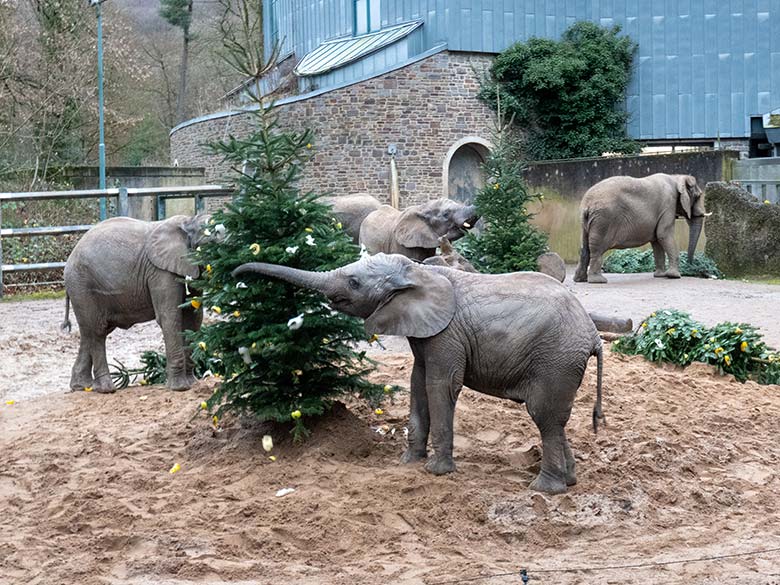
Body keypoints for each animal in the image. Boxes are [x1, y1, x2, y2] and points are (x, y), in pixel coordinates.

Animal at [62, 213, 212, 392]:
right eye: (212, 240)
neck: (189, 221)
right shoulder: (160, 271)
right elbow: (170, 316)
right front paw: (180, 388)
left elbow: (193, 317)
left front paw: (192, 383)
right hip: (83, 286)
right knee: (97, 330)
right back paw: (106, 389)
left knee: (89, 332)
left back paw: (81, 386)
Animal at [235, 252, 608, 492]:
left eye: (354, 282)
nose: (237, 275)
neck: (414, 271)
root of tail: (592, 334)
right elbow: (417, 383)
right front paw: (408, 463)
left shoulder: (447, 335)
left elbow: (440, 385)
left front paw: (436, 472)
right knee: (555, 419)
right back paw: (569, 481)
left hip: (555, 359)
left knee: (544, 416)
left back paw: (545, 489)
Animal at [572, 172, 708, 284]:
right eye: (698, 196)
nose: (692, 265)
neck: (676, 177)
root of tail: (587, 204)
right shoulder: (668, 205)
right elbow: (663, 235)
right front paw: (674, 276)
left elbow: (657, 241)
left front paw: (660, 275)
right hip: (603, 220)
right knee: (597, 249)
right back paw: (598, 281)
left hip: (586, 221)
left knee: (584, 247)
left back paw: (580, 280)